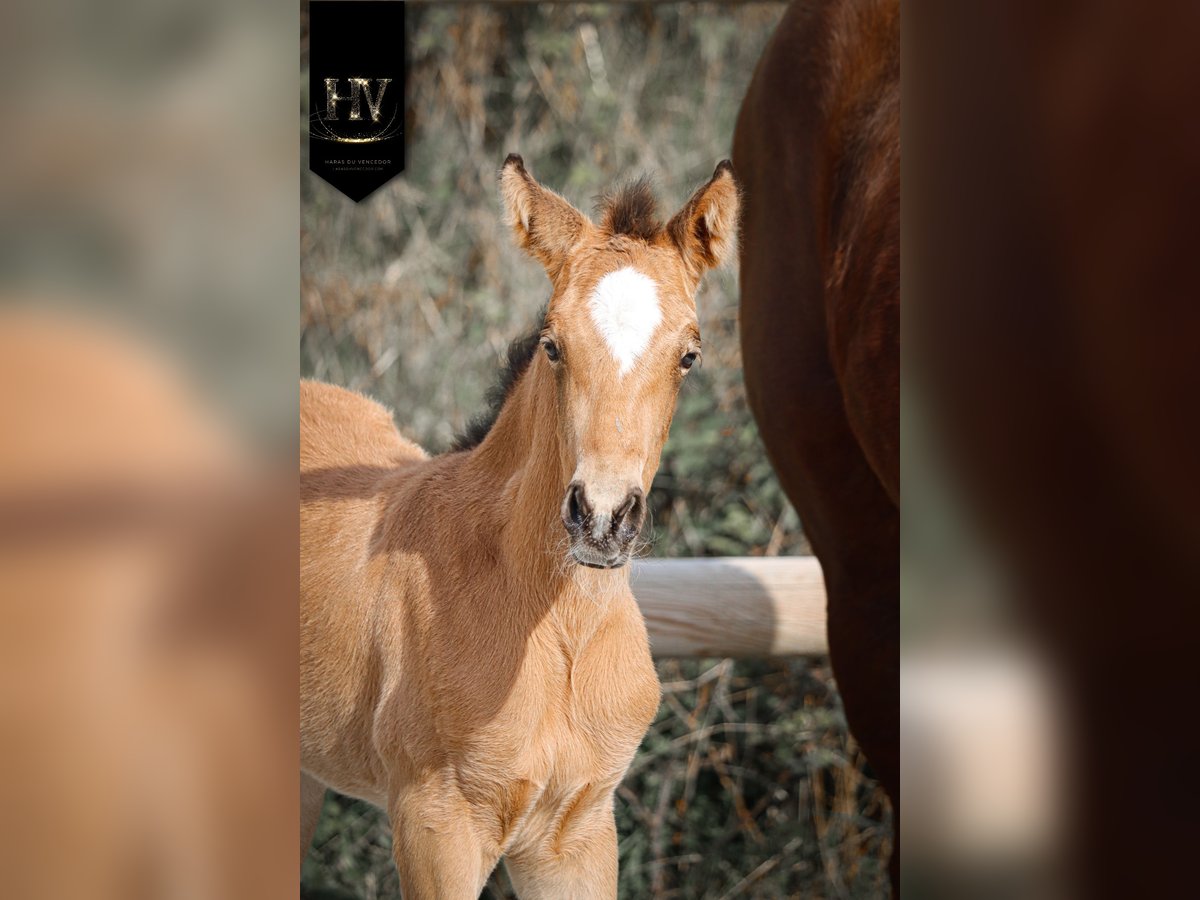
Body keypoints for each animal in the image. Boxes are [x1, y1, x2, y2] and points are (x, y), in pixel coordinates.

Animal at [299, 155, 739, 897]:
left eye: (689, 355)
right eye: (552, 345)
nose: (601, 519)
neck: (558, 632)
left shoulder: (578, 832)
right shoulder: (436, 825)